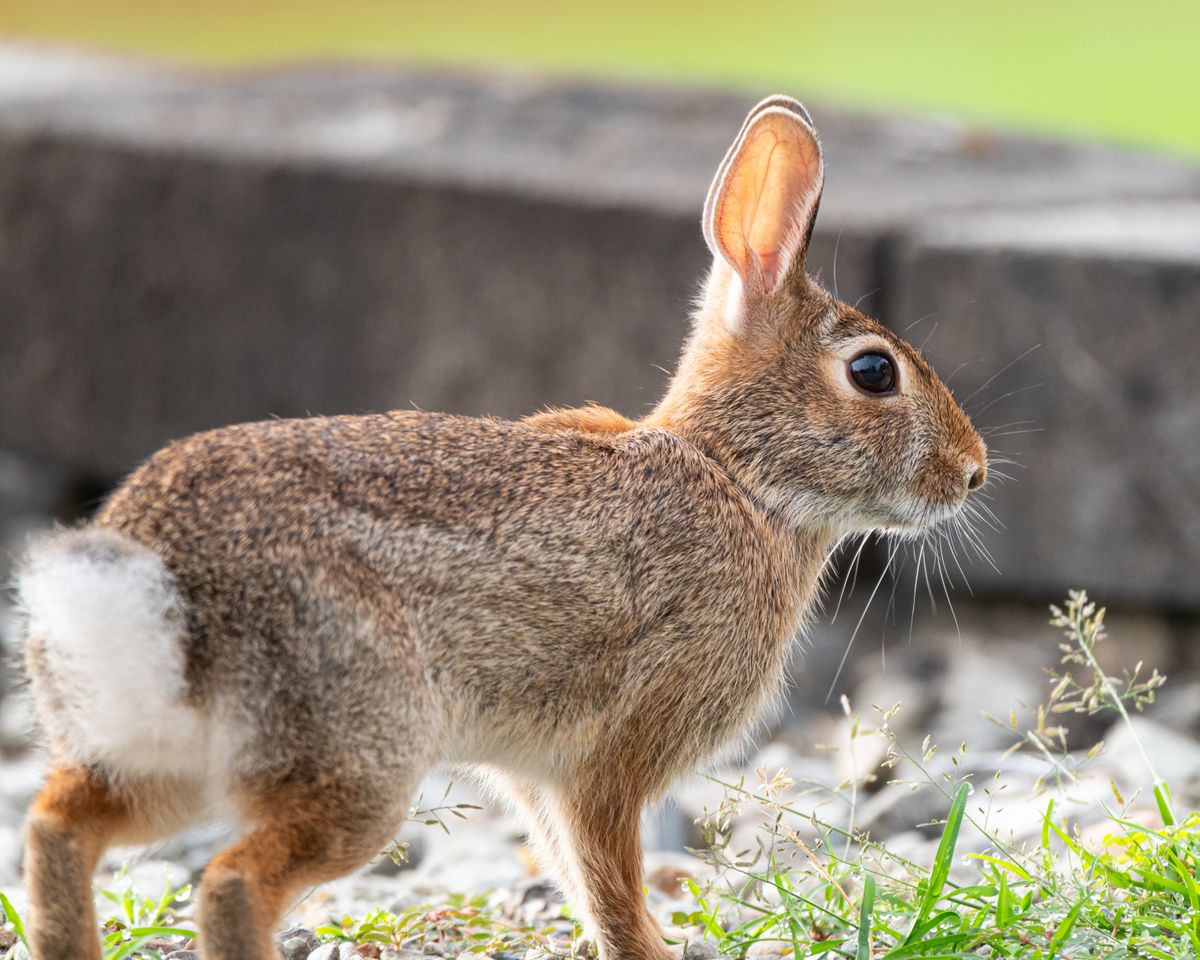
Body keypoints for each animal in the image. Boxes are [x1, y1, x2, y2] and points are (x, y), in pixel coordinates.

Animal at [15, 94, 987, 960]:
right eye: (873, 372)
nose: (972, 471)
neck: (740, 475)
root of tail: (148, 577)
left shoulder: (537, 773)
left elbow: (572, 870)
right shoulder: (613, 759)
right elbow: (609, 875)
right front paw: (654, 951)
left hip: (156, 757)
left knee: (57, 828)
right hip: (354, 752)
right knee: (230, 884)